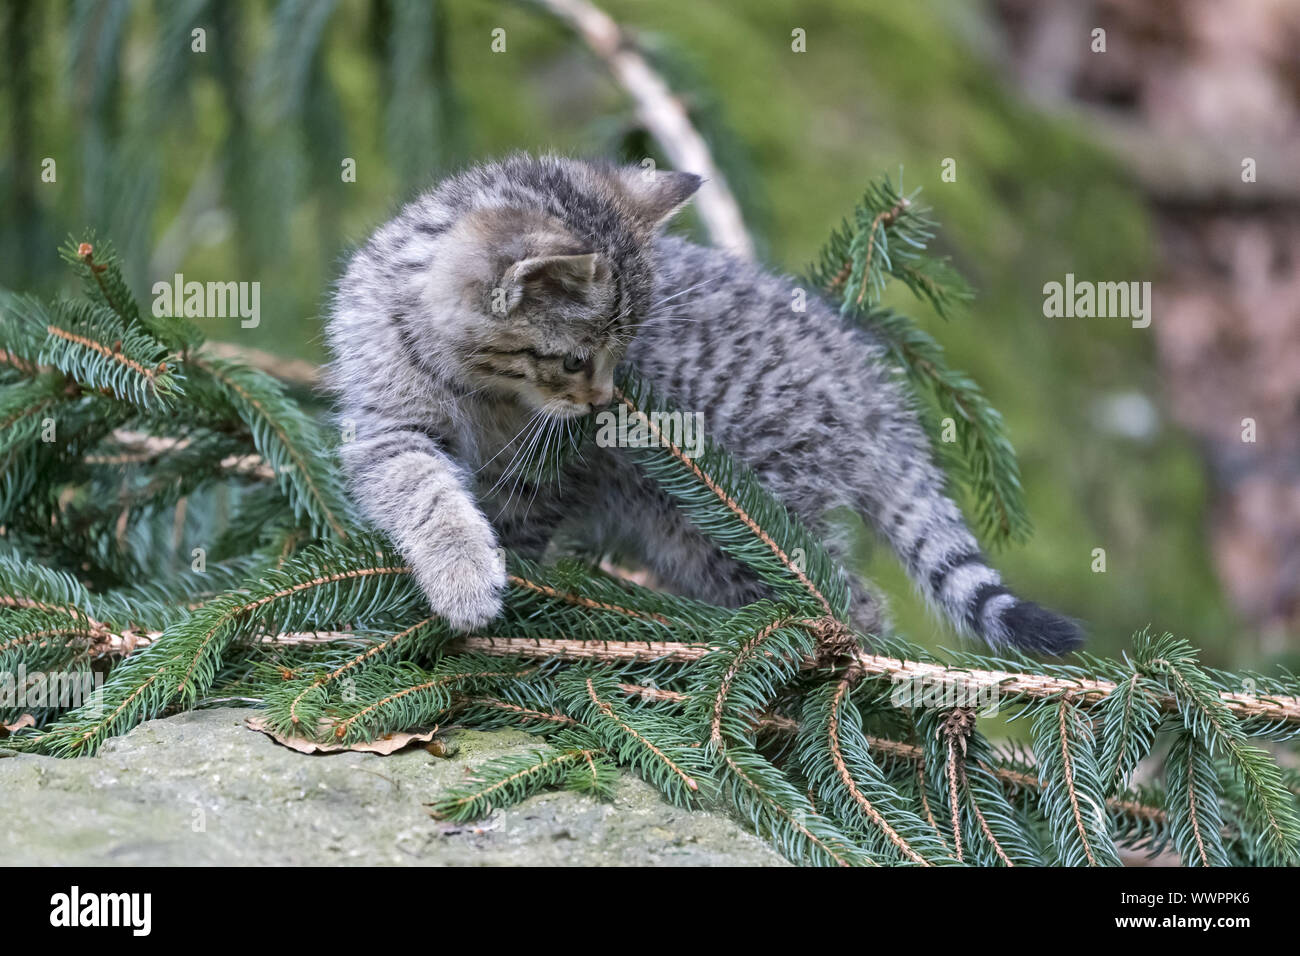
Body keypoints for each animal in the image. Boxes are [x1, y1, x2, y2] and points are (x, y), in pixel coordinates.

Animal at [327, 153, 1086, 655]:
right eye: (575, 360)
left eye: (622, 352)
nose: (605, 401)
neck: (479, 385)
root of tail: (864, 376)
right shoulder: (386, 421)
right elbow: (421, 488)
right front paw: (462, 571)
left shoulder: (554, 465)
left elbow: (519, 515)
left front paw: (504, 580)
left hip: (739, 521)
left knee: (845, 600)